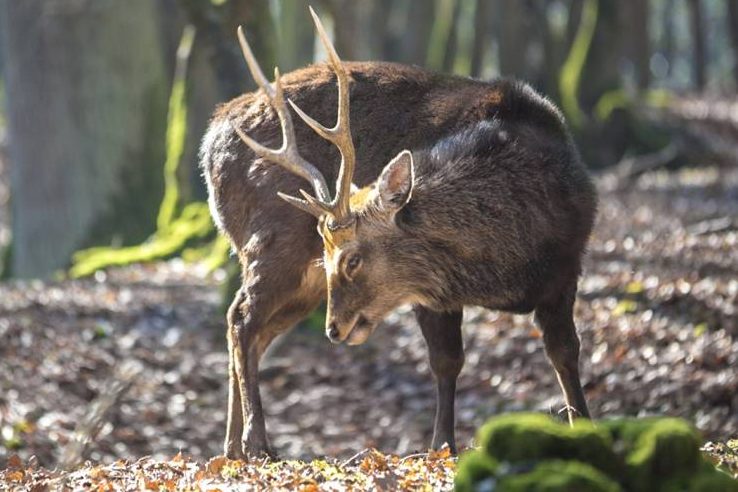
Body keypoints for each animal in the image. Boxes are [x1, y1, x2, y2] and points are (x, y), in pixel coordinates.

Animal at [198, 8, 596, 462]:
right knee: (242, 319)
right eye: (329, 254)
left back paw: (231, 447)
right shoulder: (432, 292)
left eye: (352, 259)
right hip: (272, 242)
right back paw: (256, 443)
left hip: (298, 277)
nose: (334, 330)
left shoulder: (566, 267)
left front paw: (584, 425)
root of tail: (209, 145)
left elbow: (565, 352)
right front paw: (442, 446)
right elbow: (447, 361)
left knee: (253, 329)